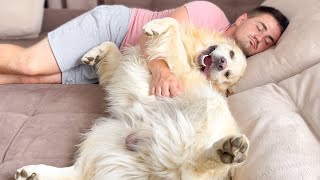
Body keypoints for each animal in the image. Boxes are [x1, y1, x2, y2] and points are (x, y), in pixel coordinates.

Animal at [15, 17, 249, 179]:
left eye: (228, 75)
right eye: (231, 55)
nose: (221, 64)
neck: (194, 60)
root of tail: (156, 168)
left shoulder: (177, 70)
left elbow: (173, 25)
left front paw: (156, 26)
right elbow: (112, 47)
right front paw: (94, 54)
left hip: (202, 119)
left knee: (195, 166)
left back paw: (228, 150)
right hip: (103, 134)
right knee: (78, 173)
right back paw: (32, 172)